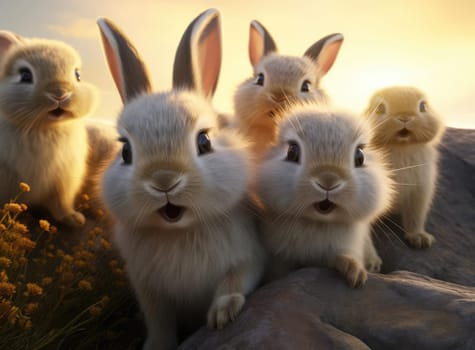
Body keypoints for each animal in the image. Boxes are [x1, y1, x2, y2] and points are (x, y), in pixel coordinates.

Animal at [0, 30, 96, 227]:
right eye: (25, 75)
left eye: (78, 75)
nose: (59, 94)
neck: (44, 126)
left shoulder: (63, 180)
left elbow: (61, 203)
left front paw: (74, 219)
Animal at [98, 8, 266, 350]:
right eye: (125, 151)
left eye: (204, 141)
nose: (164, 181)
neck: (179, 231)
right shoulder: (149, 292)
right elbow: (159, 323)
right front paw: (155, 345)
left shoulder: (248, 257)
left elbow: (235, 282)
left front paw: (222, 315)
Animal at [256, 103, 394, 288]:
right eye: (292, 151)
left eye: (360, 156)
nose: (328, 180)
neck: (318, 222)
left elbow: (343, 256)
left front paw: (355, 274)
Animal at [364, 85, 446, 249]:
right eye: (380, 108)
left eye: (423, 106)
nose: (404, 117)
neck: (402, 147)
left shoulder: (420, 192)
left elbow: (416, 217)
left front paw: (420, 239)